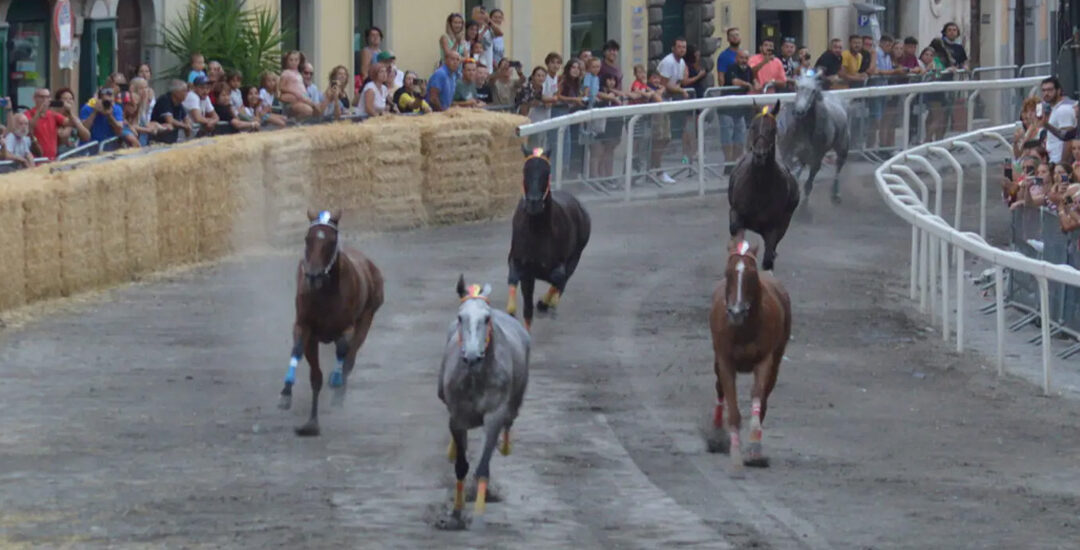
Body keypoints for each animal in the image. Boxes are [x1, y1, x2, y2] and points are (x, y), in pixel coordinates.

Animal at [278, 207, 384, 434]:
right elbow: (303, 359)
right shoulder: (305, 326)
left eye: (331, 240)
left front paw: (335, 381)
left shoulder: (348, 326)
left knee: (350, 358)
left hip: (368, 315)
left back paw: (338, 390)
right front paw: (301, 410)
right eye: (307, 238)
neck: (324, 293)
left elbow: (343, 348)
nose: (313, 275)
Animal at [434, 276, 527, 529]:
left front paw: (477, 513)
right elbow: (461, 466)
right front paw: (456, 513)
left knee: (510, 420)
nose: (473, 356)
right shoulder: (457, 415)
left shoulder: (494, 414)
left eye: (486, 318)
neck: (476, 377)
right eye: (460, 317)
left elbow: (483, 467)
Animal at [505, 145, 591, 332]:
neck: (537, 231)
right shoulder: (524, 268)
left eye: (547, 171)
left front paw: (546, 304)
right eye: (525, 170)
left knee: (564, 279)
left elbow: (559, 278)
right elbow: (525, 305)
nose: (534, 203)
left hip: (577, 253)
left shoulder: (556, 265)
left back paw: (546, 303)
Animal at [708, 235, 794, 466]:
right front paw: (732, 450)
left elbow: (758, 394)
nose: (736, 311)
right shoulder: (725, 358)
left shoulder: (766, 357)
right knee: (719, 387)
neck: (744, 328)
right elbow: (730, 400)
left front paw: (755, 448)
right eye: (728, 272)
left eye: (751, 274)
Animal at [777, 69, 851, 205]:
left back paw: (836, 193)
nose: (799, 111)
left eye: (813, 90)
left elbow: (809, 181)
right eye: (797, 87)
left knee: (839, 166)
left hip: (843, 146)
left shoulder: (817, 156)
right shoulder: (789, 152)